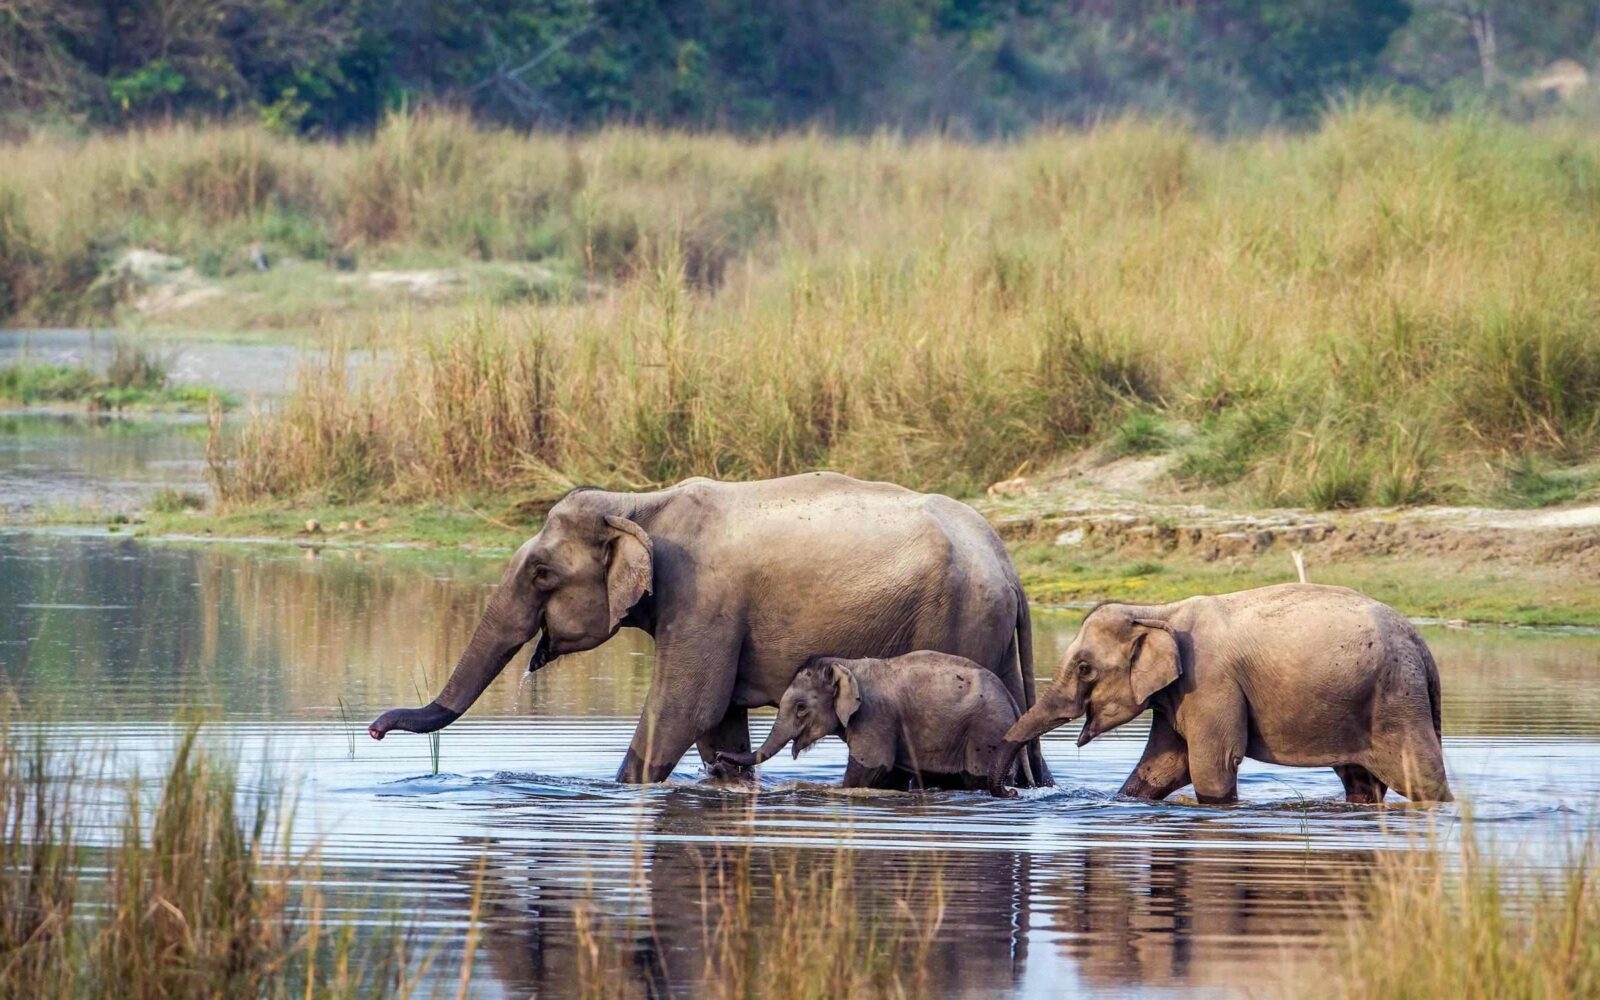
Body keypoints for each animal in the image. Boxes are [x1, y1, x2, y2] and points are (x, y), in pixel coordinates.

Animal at [716, 652, 1030, 794]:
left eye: (802, 708)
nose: (718, 758)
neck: (847, 664)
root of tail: (1013, 701)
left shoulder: (875, 718)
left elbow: (868, 770)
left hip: (985, 733)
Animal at [992, 583, 1451, 804]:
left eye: (1085, 667)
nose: (1012, 792)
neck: (1157, 611)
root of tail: (1422, 646)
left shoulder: (1211, 682)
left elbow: (1211, 763)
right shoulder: (1178, 693)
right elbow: (1163, 766)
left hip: (1396, 699)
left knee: (1421, 776)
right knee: (1360, 781)